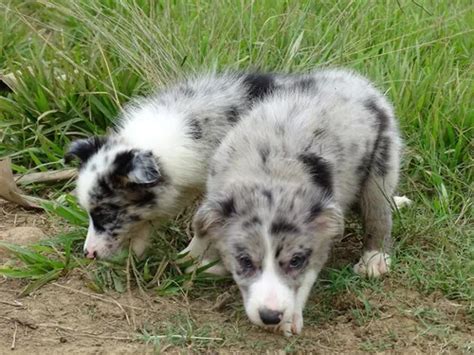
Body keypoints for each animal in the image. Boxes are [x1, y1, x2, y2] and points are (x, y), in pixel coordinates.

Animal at [187, 69, 402, 336]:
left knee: (378, 213)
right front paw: (197, 257)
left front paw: (289, 318)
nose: (270, 316)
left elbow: (305, 277)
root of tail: (353, 79)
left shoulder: (322, 234)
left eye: (296, 261)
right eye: (245, 261)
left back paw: (374, 258)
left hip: (382, 162)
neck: (270, 173)